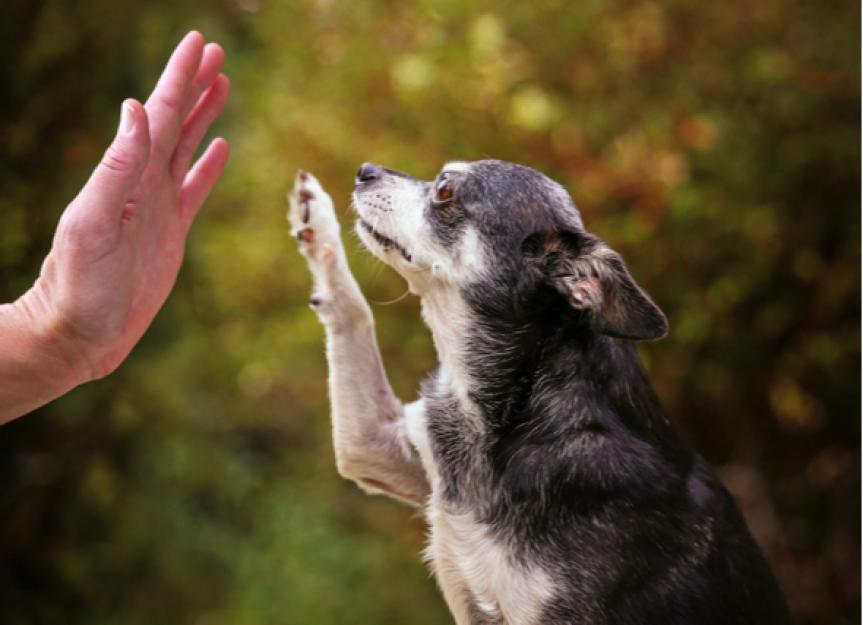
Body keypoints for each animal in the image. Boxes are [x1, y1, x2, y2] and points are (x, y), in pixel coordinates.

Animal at [286, 161, 792, 624]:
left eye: (445, 189)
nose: (366, 170)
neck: (519, 407)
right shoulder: (373, 447)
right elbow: (354, 313)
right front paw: (315, 220)